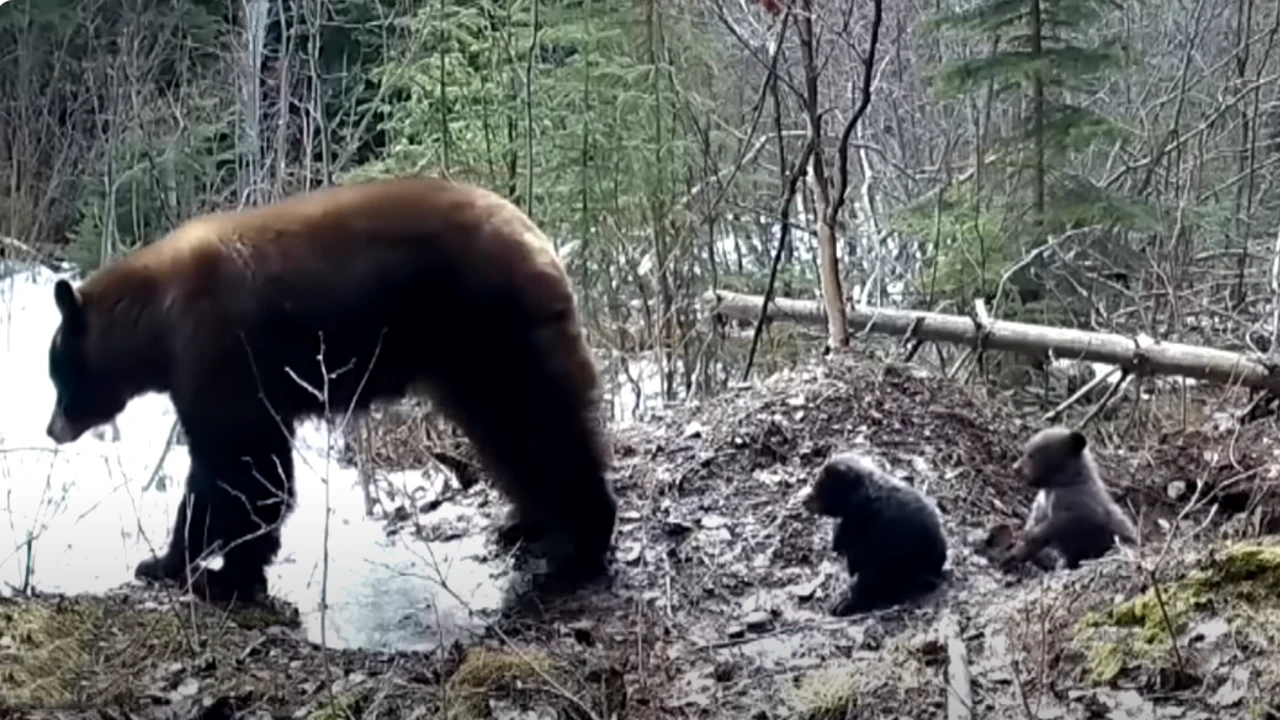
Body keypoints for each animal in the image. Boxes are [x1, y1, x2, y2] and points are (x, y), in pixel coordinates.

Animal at [42, 176, 616, 602]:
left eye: (56, 372)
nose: (51, 428)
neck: (157, 322)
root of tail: (542, 243)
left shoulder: (218, 355)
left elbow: (236, 465)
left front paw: (200, 569)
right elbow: (251, 465)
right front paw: (200, 565)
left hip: (494, 328)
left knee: (542, 422)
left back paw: (581, 547)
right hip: (468, 363)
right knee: (507, 434)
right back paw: (528, 524)